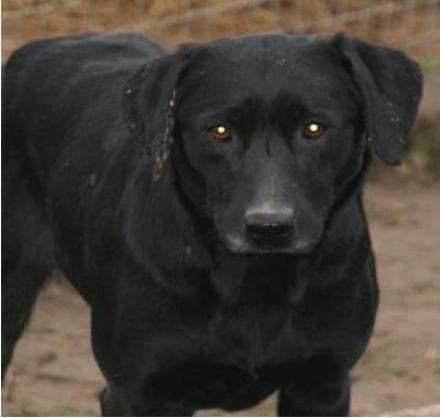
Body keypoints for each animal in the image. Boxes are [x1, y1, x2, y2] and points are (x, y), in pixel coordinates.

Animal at [2, 32, 422, 414]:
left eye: (315, 128)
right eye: (219, 131)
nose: (269, 227)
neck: (257, 282)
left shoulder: (322, 385)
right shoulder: (138, 394)